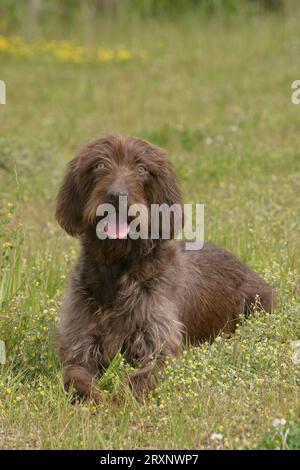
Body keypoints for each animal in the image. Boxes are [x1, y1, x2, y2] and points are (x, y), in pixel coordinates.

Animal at [55, 134, 276, 402]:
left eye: (142, 168)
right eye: (99, 165)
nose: (117, 196)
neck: (118, 269)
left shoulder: (160, 349)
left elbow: (138, 380)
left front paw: (118, 400)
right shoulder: (79, 349)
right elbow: (75, 377)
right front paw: (94, 398)